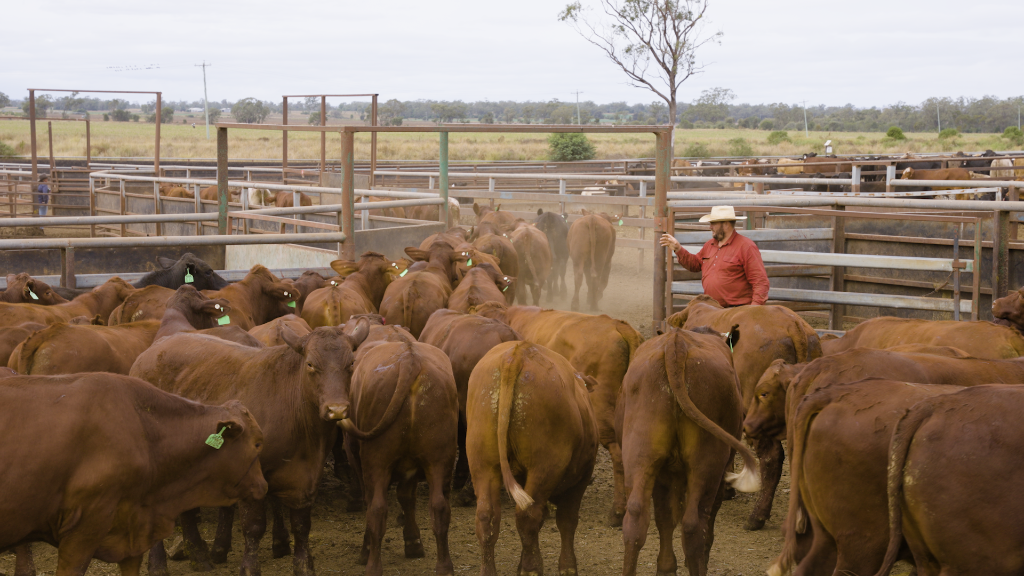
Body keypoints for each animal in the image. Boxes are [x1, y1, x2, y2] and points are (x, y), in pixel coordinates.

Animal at [130, 321, 369, 576]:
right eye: (310, 364)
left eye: (351, 363)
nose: (337, 409)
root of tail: (150, 352)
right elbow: (254, 526)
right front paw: (249, 567)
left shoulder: (307, 477)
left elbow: (301, 525)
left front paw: (304, 566)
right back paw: (158, 564)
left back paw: (198, 555)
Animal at [342, 340, 459, 576]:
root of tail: (409, 358)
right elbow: (407, 498)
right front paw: (413, 543)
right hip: (440, 460)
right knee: (440, 507)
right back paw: (444, 566)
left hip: (376, 461)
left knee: (376, 508)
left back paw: (372, 564)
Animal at [467, 341, 598, 576]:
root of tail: (517, 353)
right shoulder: (581, 479)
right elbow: (567, 520)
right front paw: (568, 566)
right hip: (545, 466)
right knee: (528, 516)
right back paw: (531, 568)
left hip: (483, 465)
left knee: (486, 517)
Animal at [619, 327, 759, 576]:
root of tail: (677, 344)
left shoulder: (663, 473)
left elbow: (665, 517)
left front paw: (666, 567)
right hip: (707, 463)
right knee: (694, 524)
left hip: (641, 456)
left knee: (635, 518)